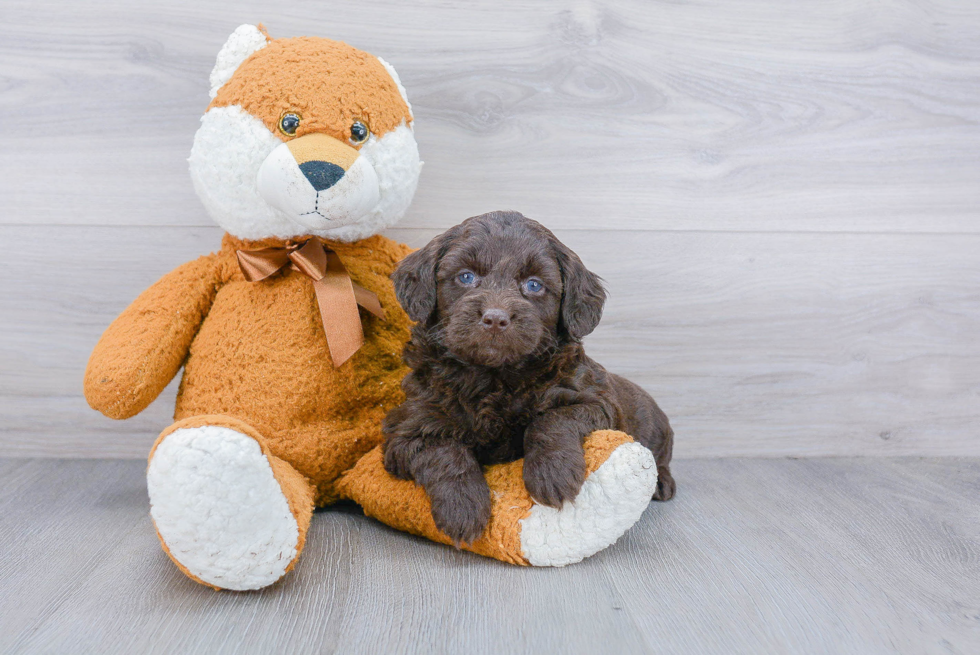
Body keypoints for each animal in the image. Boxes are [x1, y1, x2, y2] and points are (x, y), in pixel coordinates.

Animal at [382, 213, 672, 544]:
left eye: (533, 285)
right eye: (466, 277)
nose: (495, 318)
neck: (494, 377)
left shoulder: (595, 401)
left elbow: (551, 420)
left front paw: (552, 474)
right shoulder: (406, 430)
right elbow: (444, 452)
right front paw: (462, 507)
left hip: (658, 430)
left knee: (661, 458)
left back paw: (662, 483)